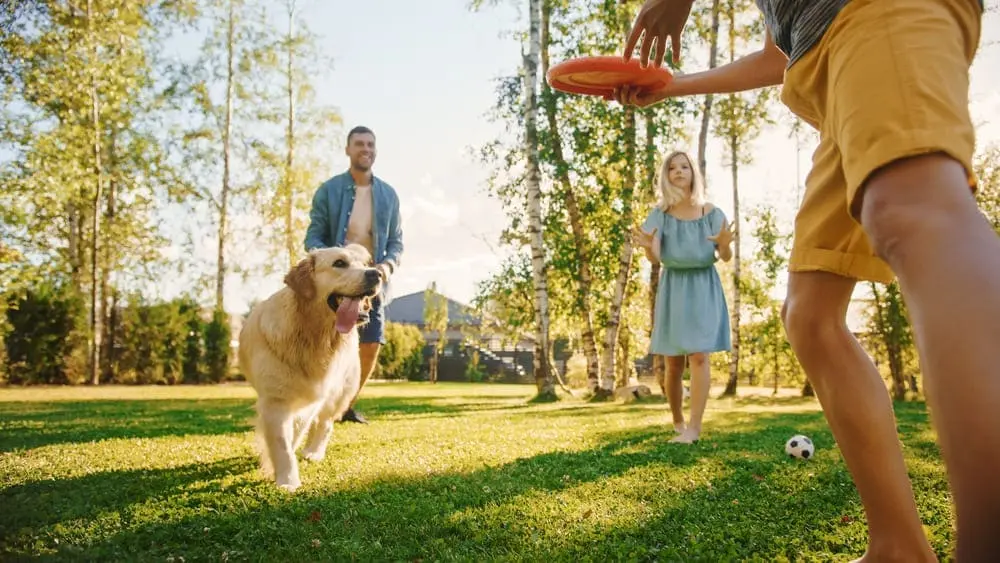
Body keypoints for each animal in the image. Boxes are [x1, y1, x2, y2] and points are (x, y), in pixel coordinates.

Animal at [238, 245, 382, 492]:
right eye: (339, 263)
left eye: (365, 265)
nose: (376, 274)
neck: (313, 335)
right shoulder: (275, 400)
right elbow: (282, 442)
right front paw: (287, 479)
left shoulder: (310, 399)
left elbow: (293, 436)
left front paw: (284, 475)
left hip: (336, 392)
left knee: (325, 424)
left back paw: (314, 452)